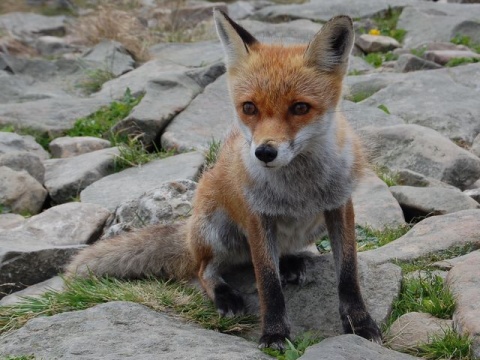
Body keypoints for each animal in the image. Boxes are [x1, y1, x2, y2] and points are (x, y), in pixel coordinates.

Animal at [66, 9, 382, 350]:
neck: (299, 190)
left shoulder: (340, 207)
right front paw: (274, 332)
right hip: (217, 230)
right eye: (249, 108)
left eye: (300, 107)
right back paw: (224, 294)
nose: (264, 152)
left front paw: (361, 322)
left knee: (273, 254)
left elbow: (348, 274)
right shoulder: (257, 216)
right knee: (204, 269)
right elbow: (267, 282)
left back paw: (289, 262)